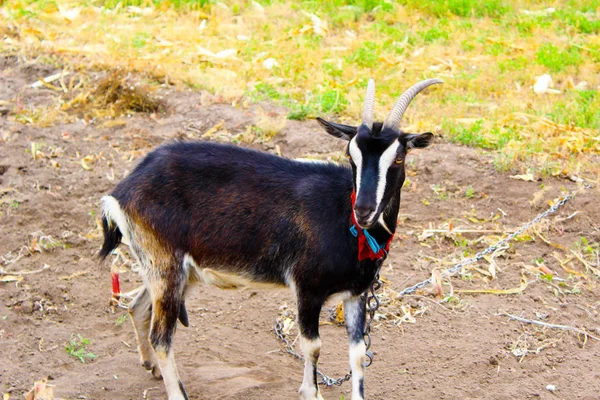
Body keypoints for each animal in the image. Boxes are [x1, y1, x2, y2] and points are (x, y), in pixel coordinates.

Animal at [99, 79, 440, 400]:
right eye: (350, 155)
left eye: (398, 158)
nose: (364, 210)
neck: (345, 219)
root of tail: (123, 190)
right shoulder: (308, 288)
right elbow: (313, 346)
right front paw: (311, 392)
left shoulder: (356, 293)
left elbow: (357, 355)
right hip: (166, 264)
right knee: (161, 336)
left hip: (172, 269)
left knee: (138, 306)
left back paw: (151, 366)